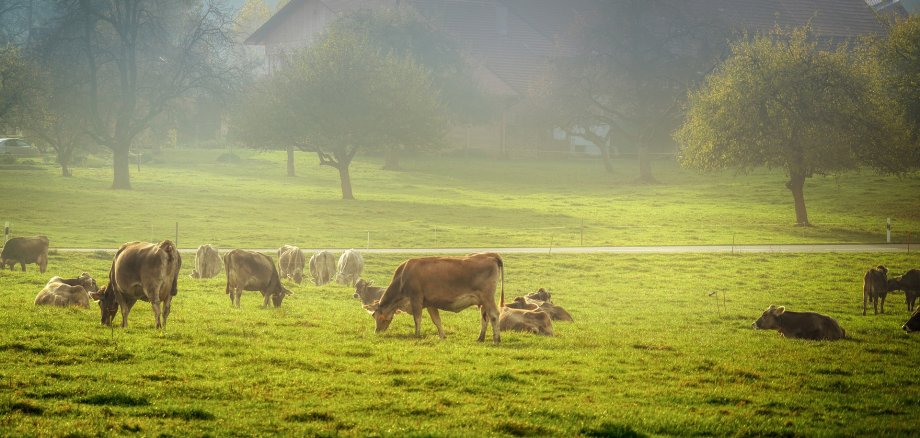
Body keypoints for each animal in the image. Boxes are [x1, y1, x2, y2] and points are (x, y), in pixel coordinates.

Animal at [371, 252, 504, 343]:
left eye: (379, 317)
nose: (377, 332)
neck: (402, 278)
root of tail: (490, 255)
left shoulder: (416, 298)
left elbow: (417, 319)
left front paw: (417, 335)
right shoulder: (430, 303)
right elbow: (436, 320)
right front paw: (442, 336)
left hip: (488, 297)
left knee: (494, 315)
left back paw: (496, 339)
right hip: (483, 302)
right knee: (485, 318)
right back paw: (480, 338)